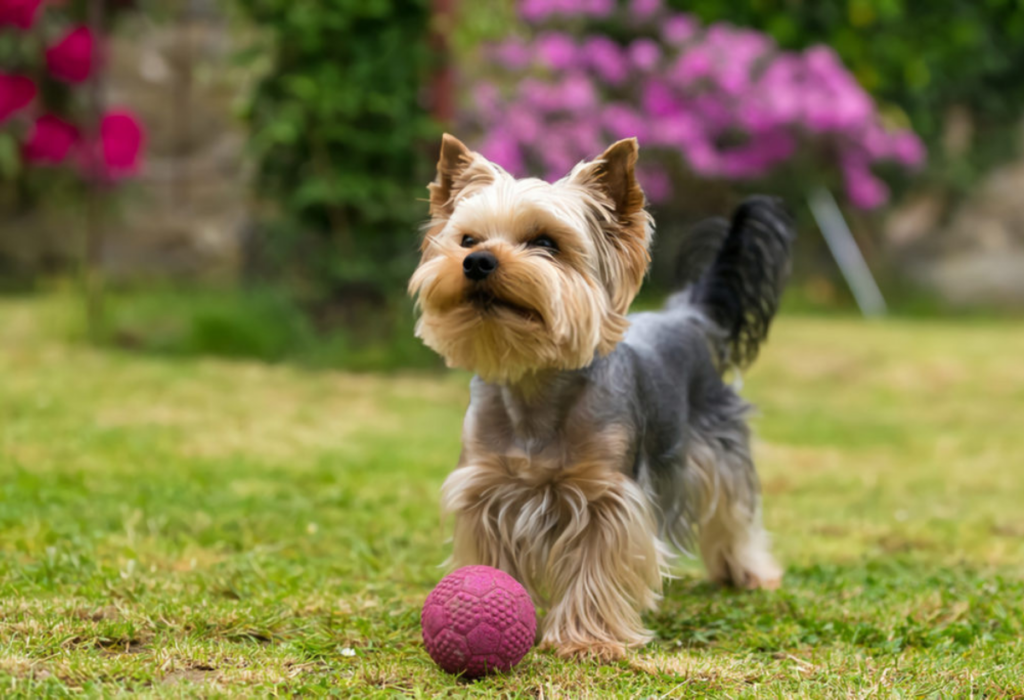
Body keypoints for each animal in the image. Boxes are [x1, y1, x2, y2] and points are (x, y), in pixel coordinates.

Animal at [407, 134, 790, 659]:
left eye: (545, 243)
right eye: (467, 240)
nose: (477, 261)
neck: (533, 381)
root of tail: (687, 313)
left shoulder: (606, 496)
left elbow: (597, 564)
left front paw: (589, 639)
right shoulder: (486, 489)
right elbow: (493, 553)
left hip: (720, 446)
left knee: (734, 511)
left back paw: (748, 572)